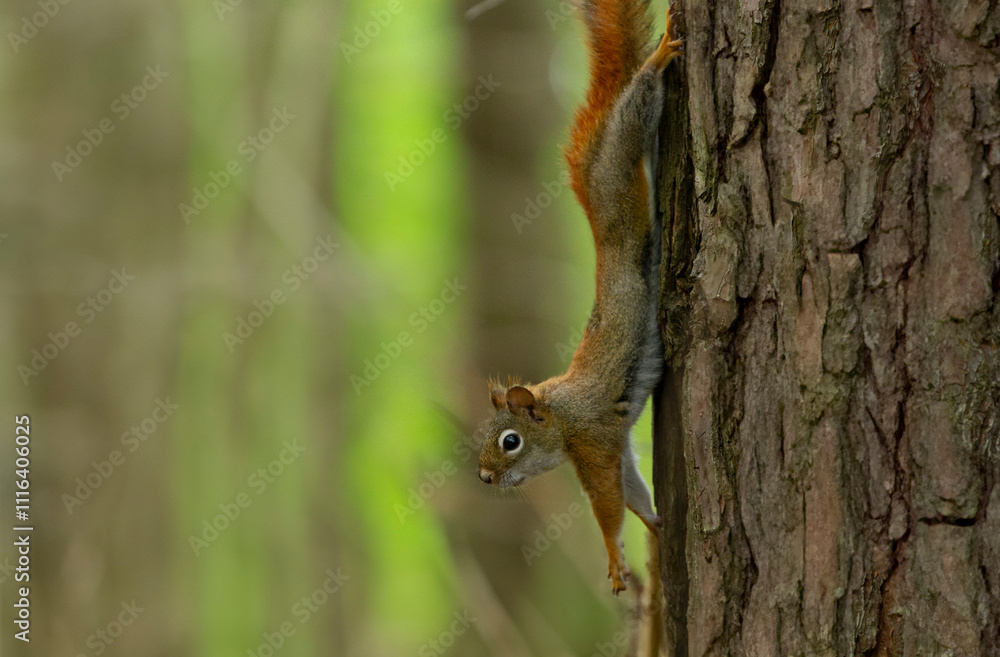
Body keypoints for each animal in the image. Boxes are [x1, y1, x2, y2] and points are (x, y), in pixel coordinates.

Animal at [477, 0, 683, 595]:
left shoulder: (593, 444)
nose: (484, 476)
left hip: (615, 175)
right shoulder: (611, 448)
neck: (561, 417)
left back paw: (658, 60)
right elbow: (632, 488)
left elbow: (608, 504)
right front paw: (654, 523)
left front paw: (614, 556)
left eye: (510, 442)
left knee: (634, 113)